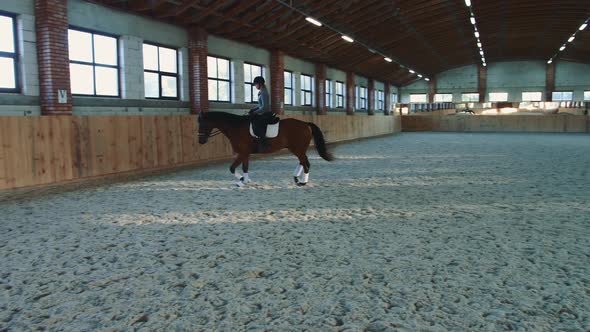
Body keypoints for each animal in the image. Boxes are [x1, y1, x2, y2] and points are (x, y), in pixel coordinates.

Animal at [199, 112, 336, 187]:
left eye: (202, 124)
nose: (201, 141)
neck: (236, 127)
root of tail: (306, 124)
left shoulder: (243, 153)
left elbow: (232, 168)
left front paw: (241, 180)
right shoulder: (245, 153)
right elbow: (245, 168)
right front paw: (245, 180)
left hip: (298, 149)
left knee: (306, 163)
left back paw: (303, 182)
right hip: (298, 149)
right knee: (303, 162)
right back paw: (297, 178)